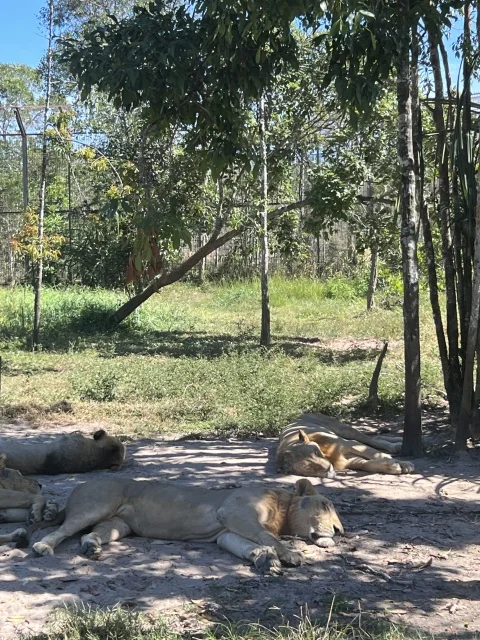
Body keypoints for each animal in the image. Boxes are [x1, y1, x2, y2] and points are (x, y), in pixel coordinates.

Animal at [31, 476, 342, 576]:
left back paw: (92, 547)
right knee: (63, 529)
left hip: (119, 525)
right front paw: (288, 554)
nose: (340, 531)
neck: (282, 509)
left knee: (93, 534)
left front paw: (264, 560)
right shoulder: (234, 513)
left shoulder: (226, 533)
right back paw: (43, 546)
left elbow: (247, 545)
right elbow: (267, 537)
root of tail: (82, 484)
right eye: (326, 505)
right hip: (96, 505)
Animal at [276, 412, 414, 478]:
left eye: (315, 452)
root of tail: (301, 415)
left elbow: (376, 454)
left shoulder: (348, 444)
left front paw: (405, 465)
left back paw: (396, 445)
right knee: (374, 438)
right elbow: (367, 465)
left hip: (344, 430)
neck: (327, 455)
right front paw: (391, 467)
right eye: (311, 467)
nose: (328, 468)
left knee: (370, 440)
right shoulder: (347, 461)